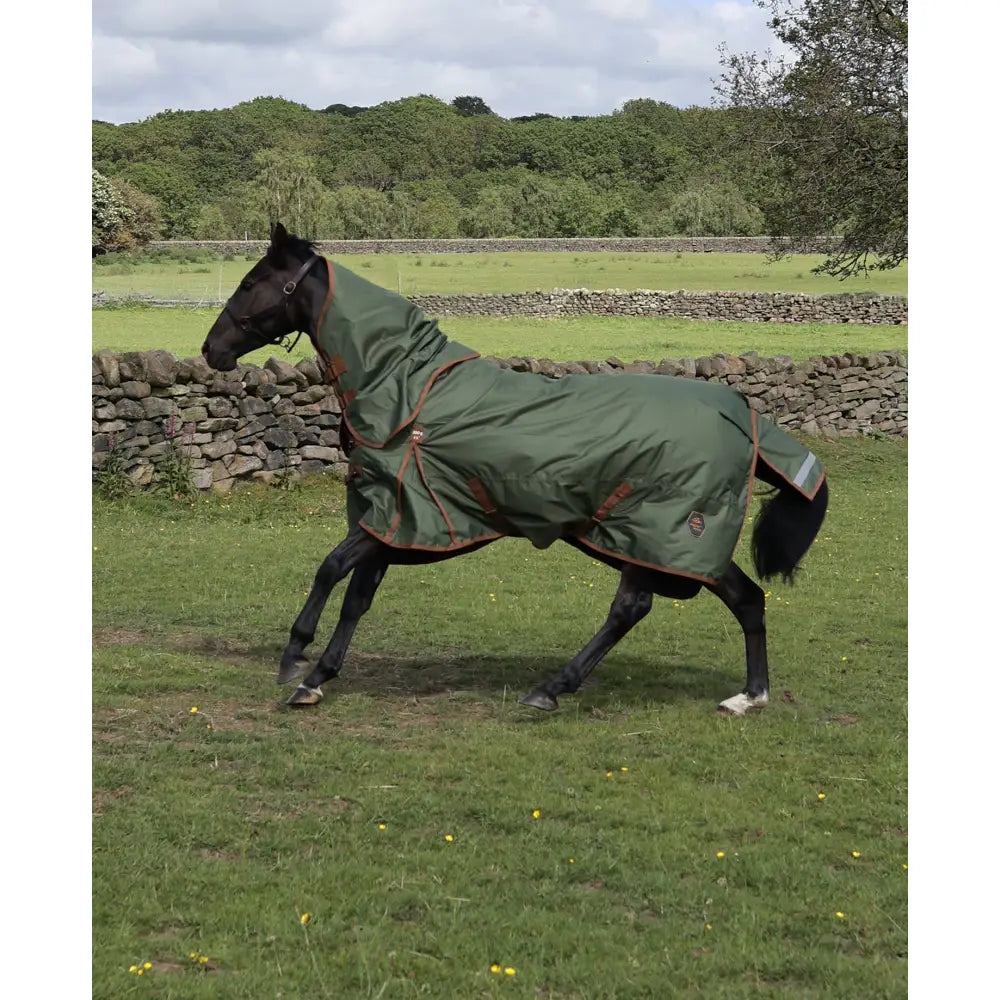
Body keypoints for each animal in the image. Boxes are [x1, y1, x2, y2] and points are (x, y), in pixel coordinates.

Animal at [202, 223, 828, 717]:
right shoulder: (393, 521)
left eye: (249, 283)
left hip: (659, 533)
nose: (211, 350)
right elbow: (357, 596)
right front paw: (318, 676)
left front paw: (295, 659)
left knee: (634, 607)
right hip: (654, 541)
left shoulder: (400, 515)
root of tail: (740, 413)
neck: (407, 390)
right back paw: (749, 696)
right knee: (744, 599)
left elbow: (330, 569)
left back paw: (552, 688)